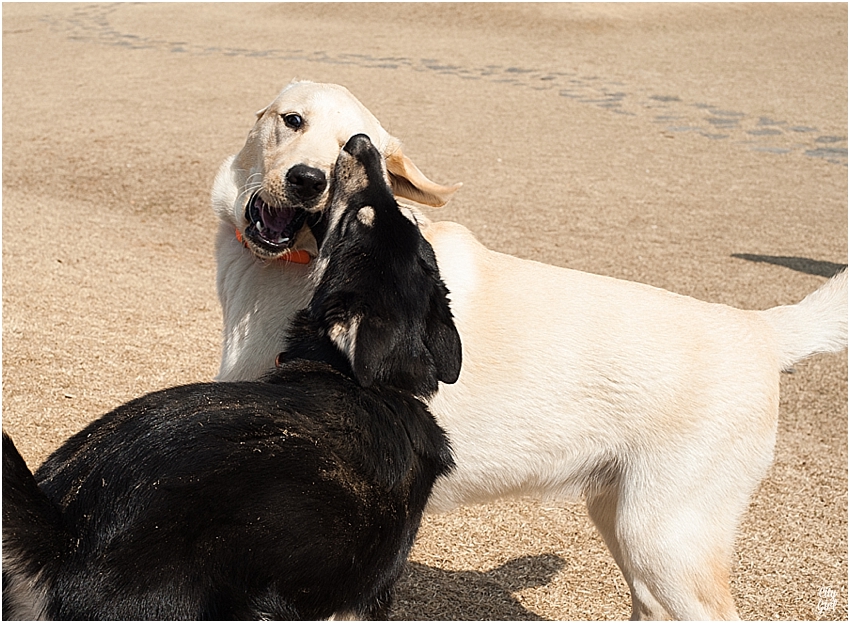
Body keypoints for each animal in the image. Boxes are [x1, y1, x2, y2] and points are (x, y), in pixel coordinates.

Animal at [210, 80, 840, 620]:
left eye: (355, 143)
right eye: (293, 120)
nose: (307, 179)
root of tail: (760, 329)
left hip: (666, 541)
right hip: (626, 524)